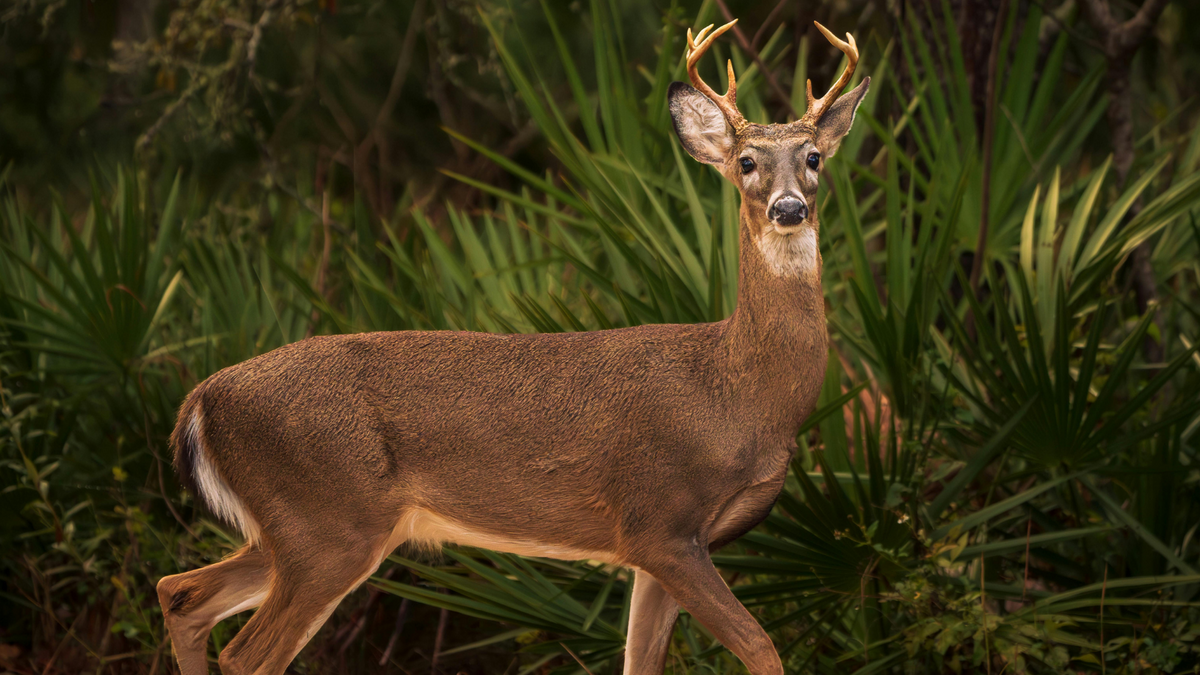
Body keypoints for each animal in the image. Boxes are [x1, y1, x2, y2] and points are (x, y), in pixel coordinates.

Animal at [156, 17, 868, 675]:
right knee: (243, 653)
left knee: (178, 592)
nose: (787, 208)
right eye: (746, 162)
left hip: (292, 530)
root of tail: (200, 399)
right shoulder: (659, 522)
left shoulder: (661, 548)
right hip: (327, 520)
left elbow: (642, 660)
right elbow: (762, 649)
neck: (737, 392)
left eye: (814, 157)